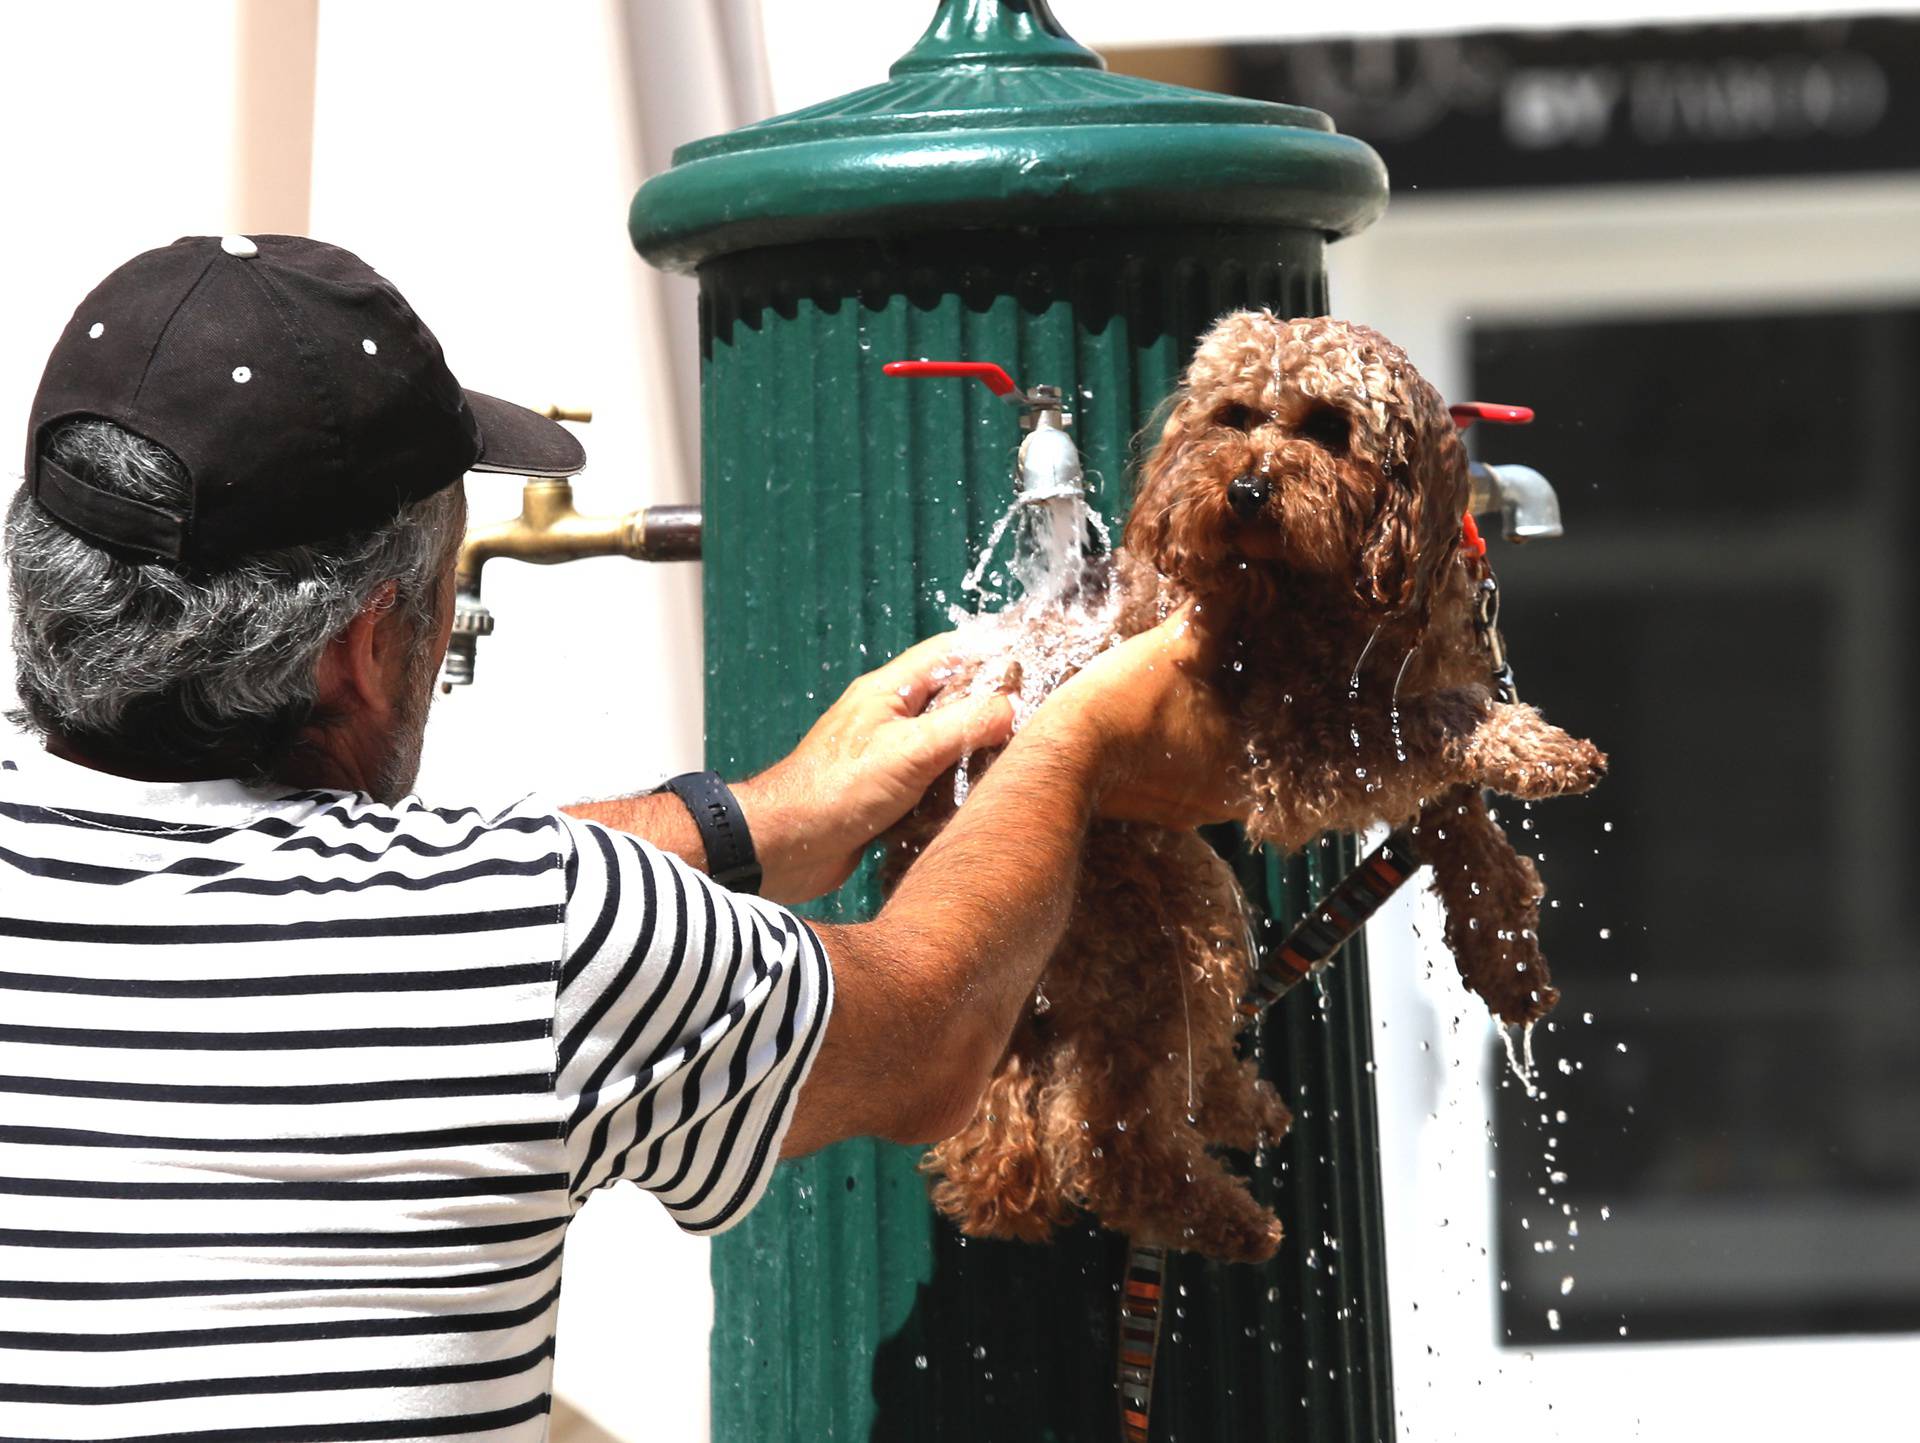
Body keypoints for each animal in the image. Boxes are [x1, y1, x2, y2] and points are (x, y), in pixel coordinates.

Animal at [883, 310, 1605, 1258]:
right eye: (1232, 416)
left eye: (1330, 428)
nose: (1248, 491)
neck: (1330, 586)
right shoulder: (1304, 745)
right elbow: (1437, 725)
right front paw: (1538, 746)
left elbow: (1465, 832)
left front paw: (1506, 956)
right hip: (1147, 908)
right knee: (1100, 1125)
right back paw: (1226, 1219)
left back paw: (1233, 1099)